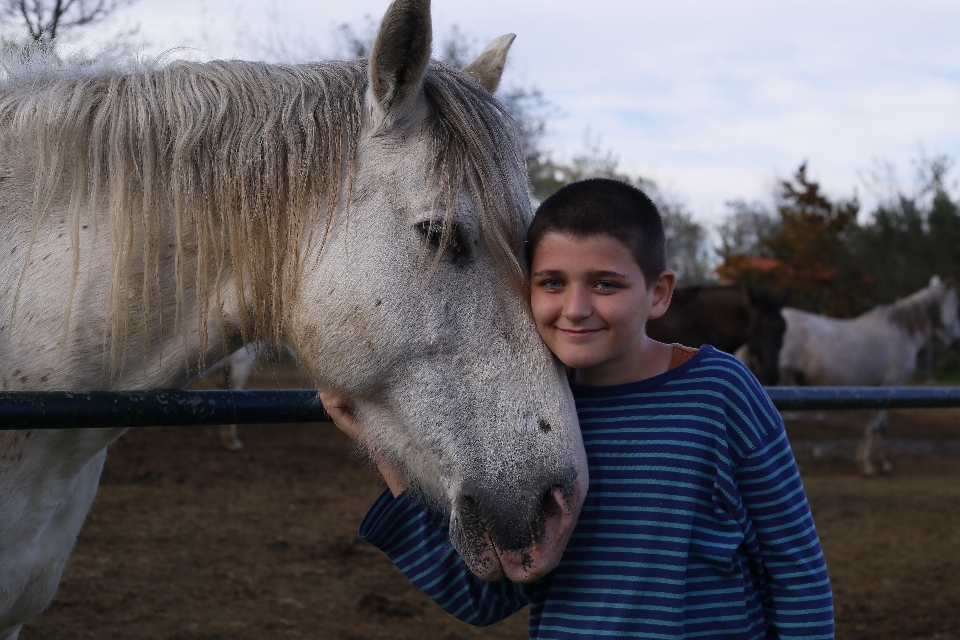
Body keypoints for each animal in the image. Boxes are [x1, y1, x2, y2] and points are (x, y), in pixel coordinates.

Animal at [780, 276, 960, 476]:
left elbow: (875, 426)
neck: (904, 333)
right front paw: (873, 464)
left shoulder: (879, 389)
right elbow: (878, 427)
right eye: (956, 307)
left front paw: (870, 461)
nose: (957, 342)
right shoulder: (892, 385)